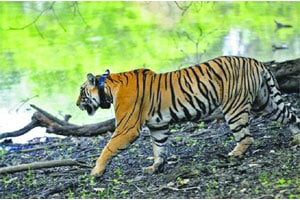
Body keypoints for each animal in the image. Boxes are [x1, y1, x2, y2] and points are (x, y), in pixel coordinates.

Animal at [76, 55, 298, 177]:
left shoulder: (127, 128)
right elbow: (159, 147)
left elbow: (108, 148)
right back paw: (297, 139)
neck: (108, 87)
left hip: (234, 108)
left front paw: (95, 172)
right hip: (265, 102)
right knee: (291, 116)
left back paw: (234, 154)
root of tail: (255, 61)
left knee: (247, 138)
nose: (77, 104)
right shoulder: (158, 126)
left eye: (81, 91)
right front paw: (155, 167)